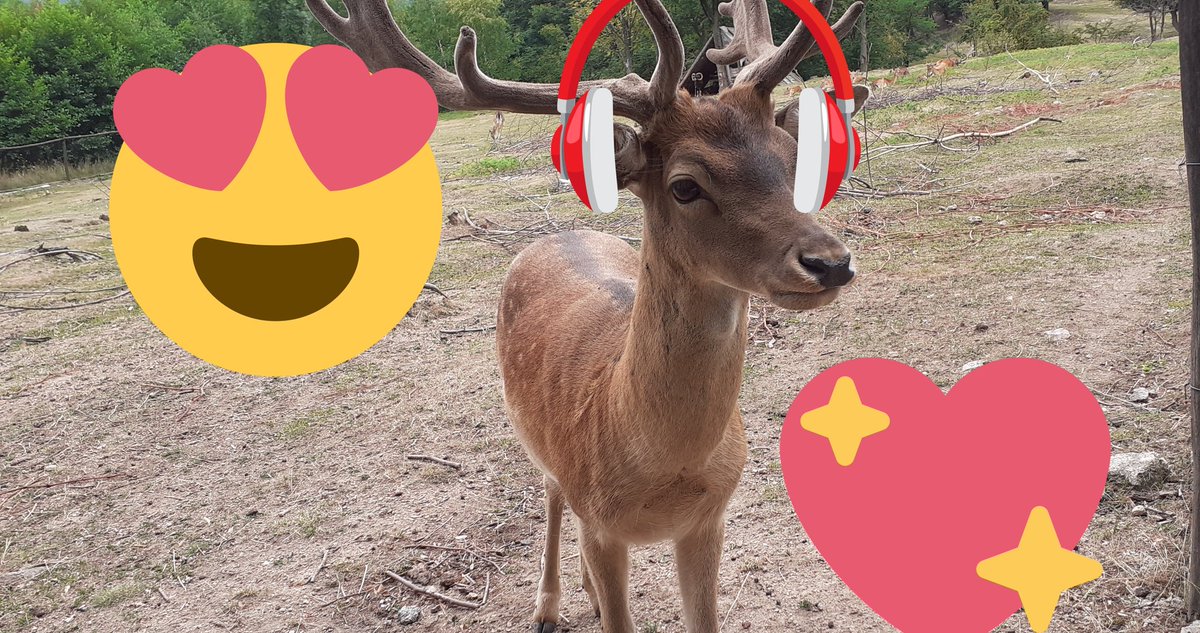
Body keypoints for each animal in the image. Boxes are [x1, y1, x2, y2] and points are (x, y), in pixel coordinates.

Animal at [305, 0, 868, 630]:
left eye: (795, 159)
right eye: (685, 186)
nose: (830, 263)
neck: (659, 464)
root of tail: (560, 232)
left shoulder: (710, 520)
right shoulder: (603, 523)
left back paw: (586, 590)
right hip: (534, 436)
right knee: (552, 494)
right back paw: (550, 603)